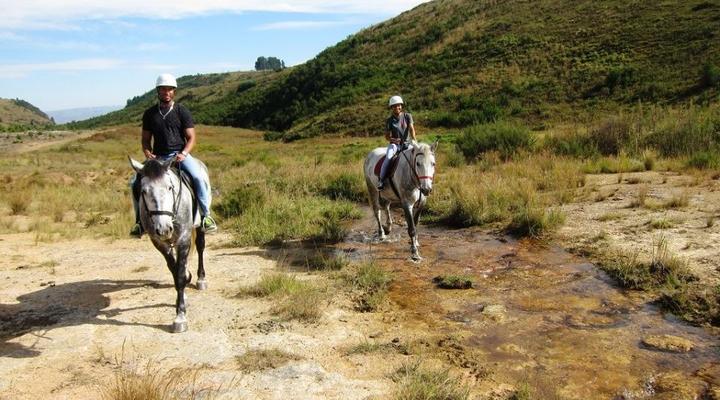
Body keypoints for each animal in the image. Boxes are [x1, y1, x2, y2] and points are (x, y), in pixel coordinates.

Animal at [129, 156, 208, 333]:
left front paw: (180, 317)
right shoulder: (158, 242)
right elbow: (174, 270)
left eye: (170, 187)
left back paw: (201, 279)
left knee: (200, 247)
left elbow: (179, 275)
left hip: (199, 226)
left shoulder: (184, 238)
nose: (164, 228)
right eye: (143, 191)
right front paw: (181, 297)